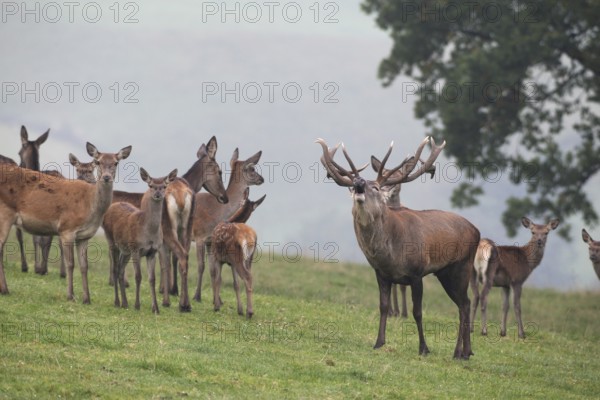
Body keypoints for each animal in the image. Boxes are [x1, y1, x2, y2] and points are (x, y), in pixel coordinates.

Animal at [0, 142, 132, 302]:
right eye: (98, 161)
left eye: (116, 162)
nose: (106, 177)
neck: (90, 207)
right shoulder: (67, 228)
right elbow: (71, 264)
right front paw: (70, 295)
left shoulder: (84, 236)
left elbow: (84, 266)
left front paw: (87, 299)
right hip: (5, 213)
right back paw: (5, 289)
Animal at [103, 167, 177, 314]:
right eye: (151, 185)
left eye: (164, 186)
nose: (158, 194)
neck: (149, 234)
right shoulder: (136, 248)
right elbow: (138, 276)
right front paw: (137, 305)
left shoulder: (152, 252)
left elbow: (152, 278)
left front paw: (156, 308)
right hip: (112, 241)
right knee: (115, 269)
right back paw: (117, 301)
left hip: (126, 250)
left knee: (121, 270)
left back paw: (125, 302)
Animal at [316, 138, 480, 360]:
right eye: (352, 186)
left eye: (376, 187)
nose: (358, 183)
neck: (391, 254)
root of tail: (476, 231)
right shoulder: (381, 273)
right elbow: (383, 306)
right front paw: (379, 342)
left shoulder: (417, 272)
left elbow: (417, 312)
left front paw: (423, 348)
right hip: (444, 272)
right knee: (465, 303)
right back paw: (464, 352)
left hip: (462, 266)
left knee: (464, 303)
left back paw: (460, 353)